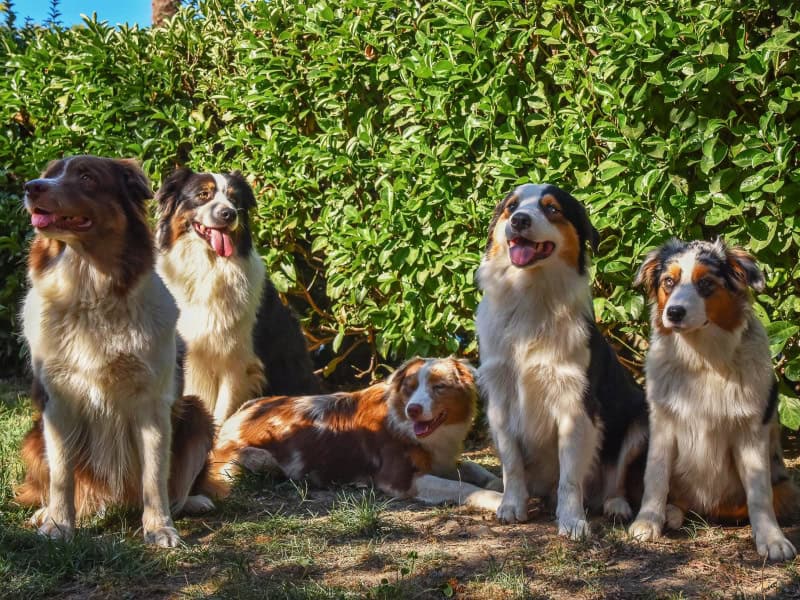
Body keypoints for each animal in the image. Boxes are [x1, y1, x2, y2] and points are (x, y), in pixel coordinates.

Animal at [18, 156, 219, 548]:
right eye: (49, 174)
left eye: (86, 176)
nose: (32, 187)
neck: (90, 289)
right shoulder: (57, 400)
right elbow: (61, 475)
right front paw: (59, 524)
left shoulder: (152, 401)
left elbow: (155, 476)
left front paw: (160, 529)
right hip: (33, 436)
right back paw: (45, 512)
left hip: (197, 413)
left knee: (177, 486)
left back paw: (194, 501)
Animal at [209, 356, 504, 506]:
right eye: (409, 388)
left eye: (439, 387)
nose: (413, 410)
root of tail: (236, 416)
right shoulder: (399, 479)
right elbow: (462, 487)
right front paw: (496, 499)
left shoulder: (442, 460)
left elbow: (475, 469)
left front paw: (499, 484)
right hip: (256, 459)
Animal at [476, 183, 648, 540]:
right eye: (511, 206)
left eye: (552, 208)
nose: (519, 220)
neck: (529, 295)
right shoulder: (500, 398)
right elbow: (512, 463)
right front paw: (511, 506)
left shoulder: (576, 401)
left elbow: (570, 475)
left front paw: (571, 521)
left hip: (640, 417)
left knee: (615, 480)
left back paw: (615, 505)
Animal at [632, 239, 792, 564]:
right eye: (668, 282)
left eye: (706, 283)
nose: (674, 312)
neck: (703, 360)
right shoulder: (662, 422)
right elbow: (655, 476)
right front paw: (647, 522)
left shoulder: (751, 430)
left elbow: (759, 492)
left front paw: (772, 540)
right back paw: (670, 514)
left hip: (786, 484)